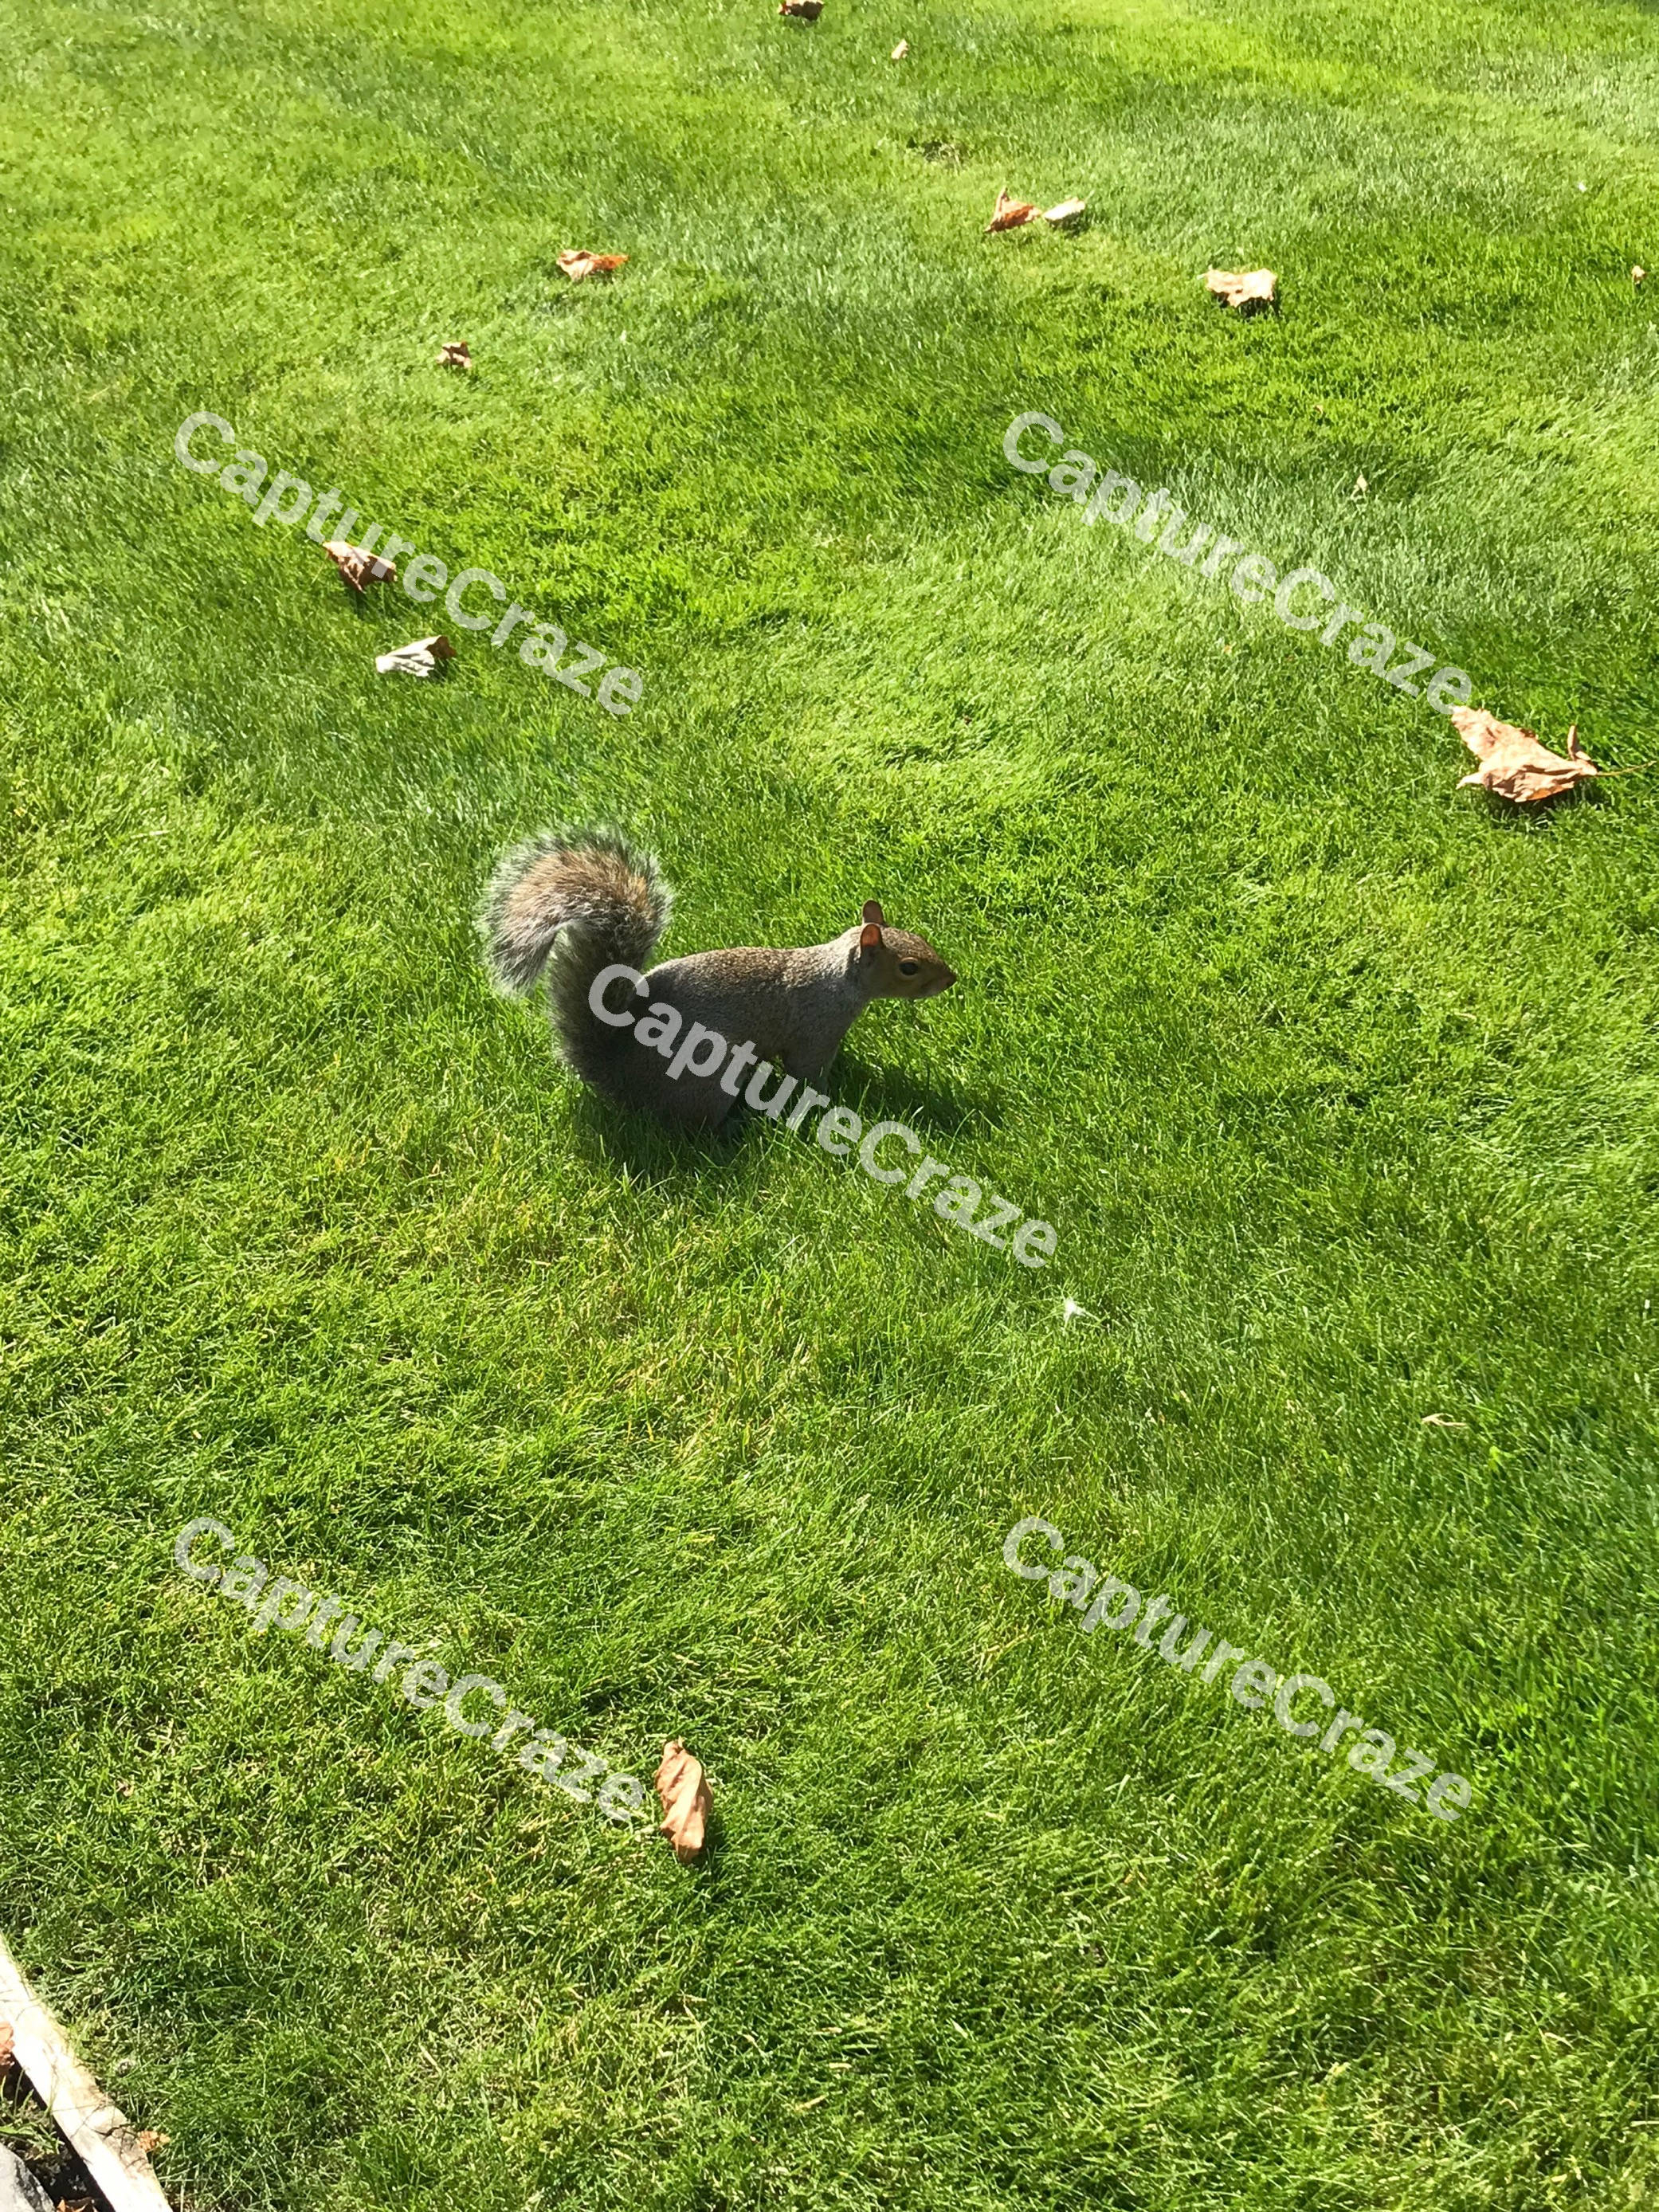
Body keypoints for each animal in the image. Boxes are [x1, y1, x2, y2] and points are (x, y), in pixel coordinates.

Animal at [478, 828, 957, 1128]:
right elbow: (807, 1072)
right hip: (708, 1079)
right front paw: (829, 1099)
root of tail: (617, 1078)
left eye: (920, 937)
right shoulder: (814, 1031)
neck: (837, 978)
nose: (951, 980)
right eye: (909, 967)